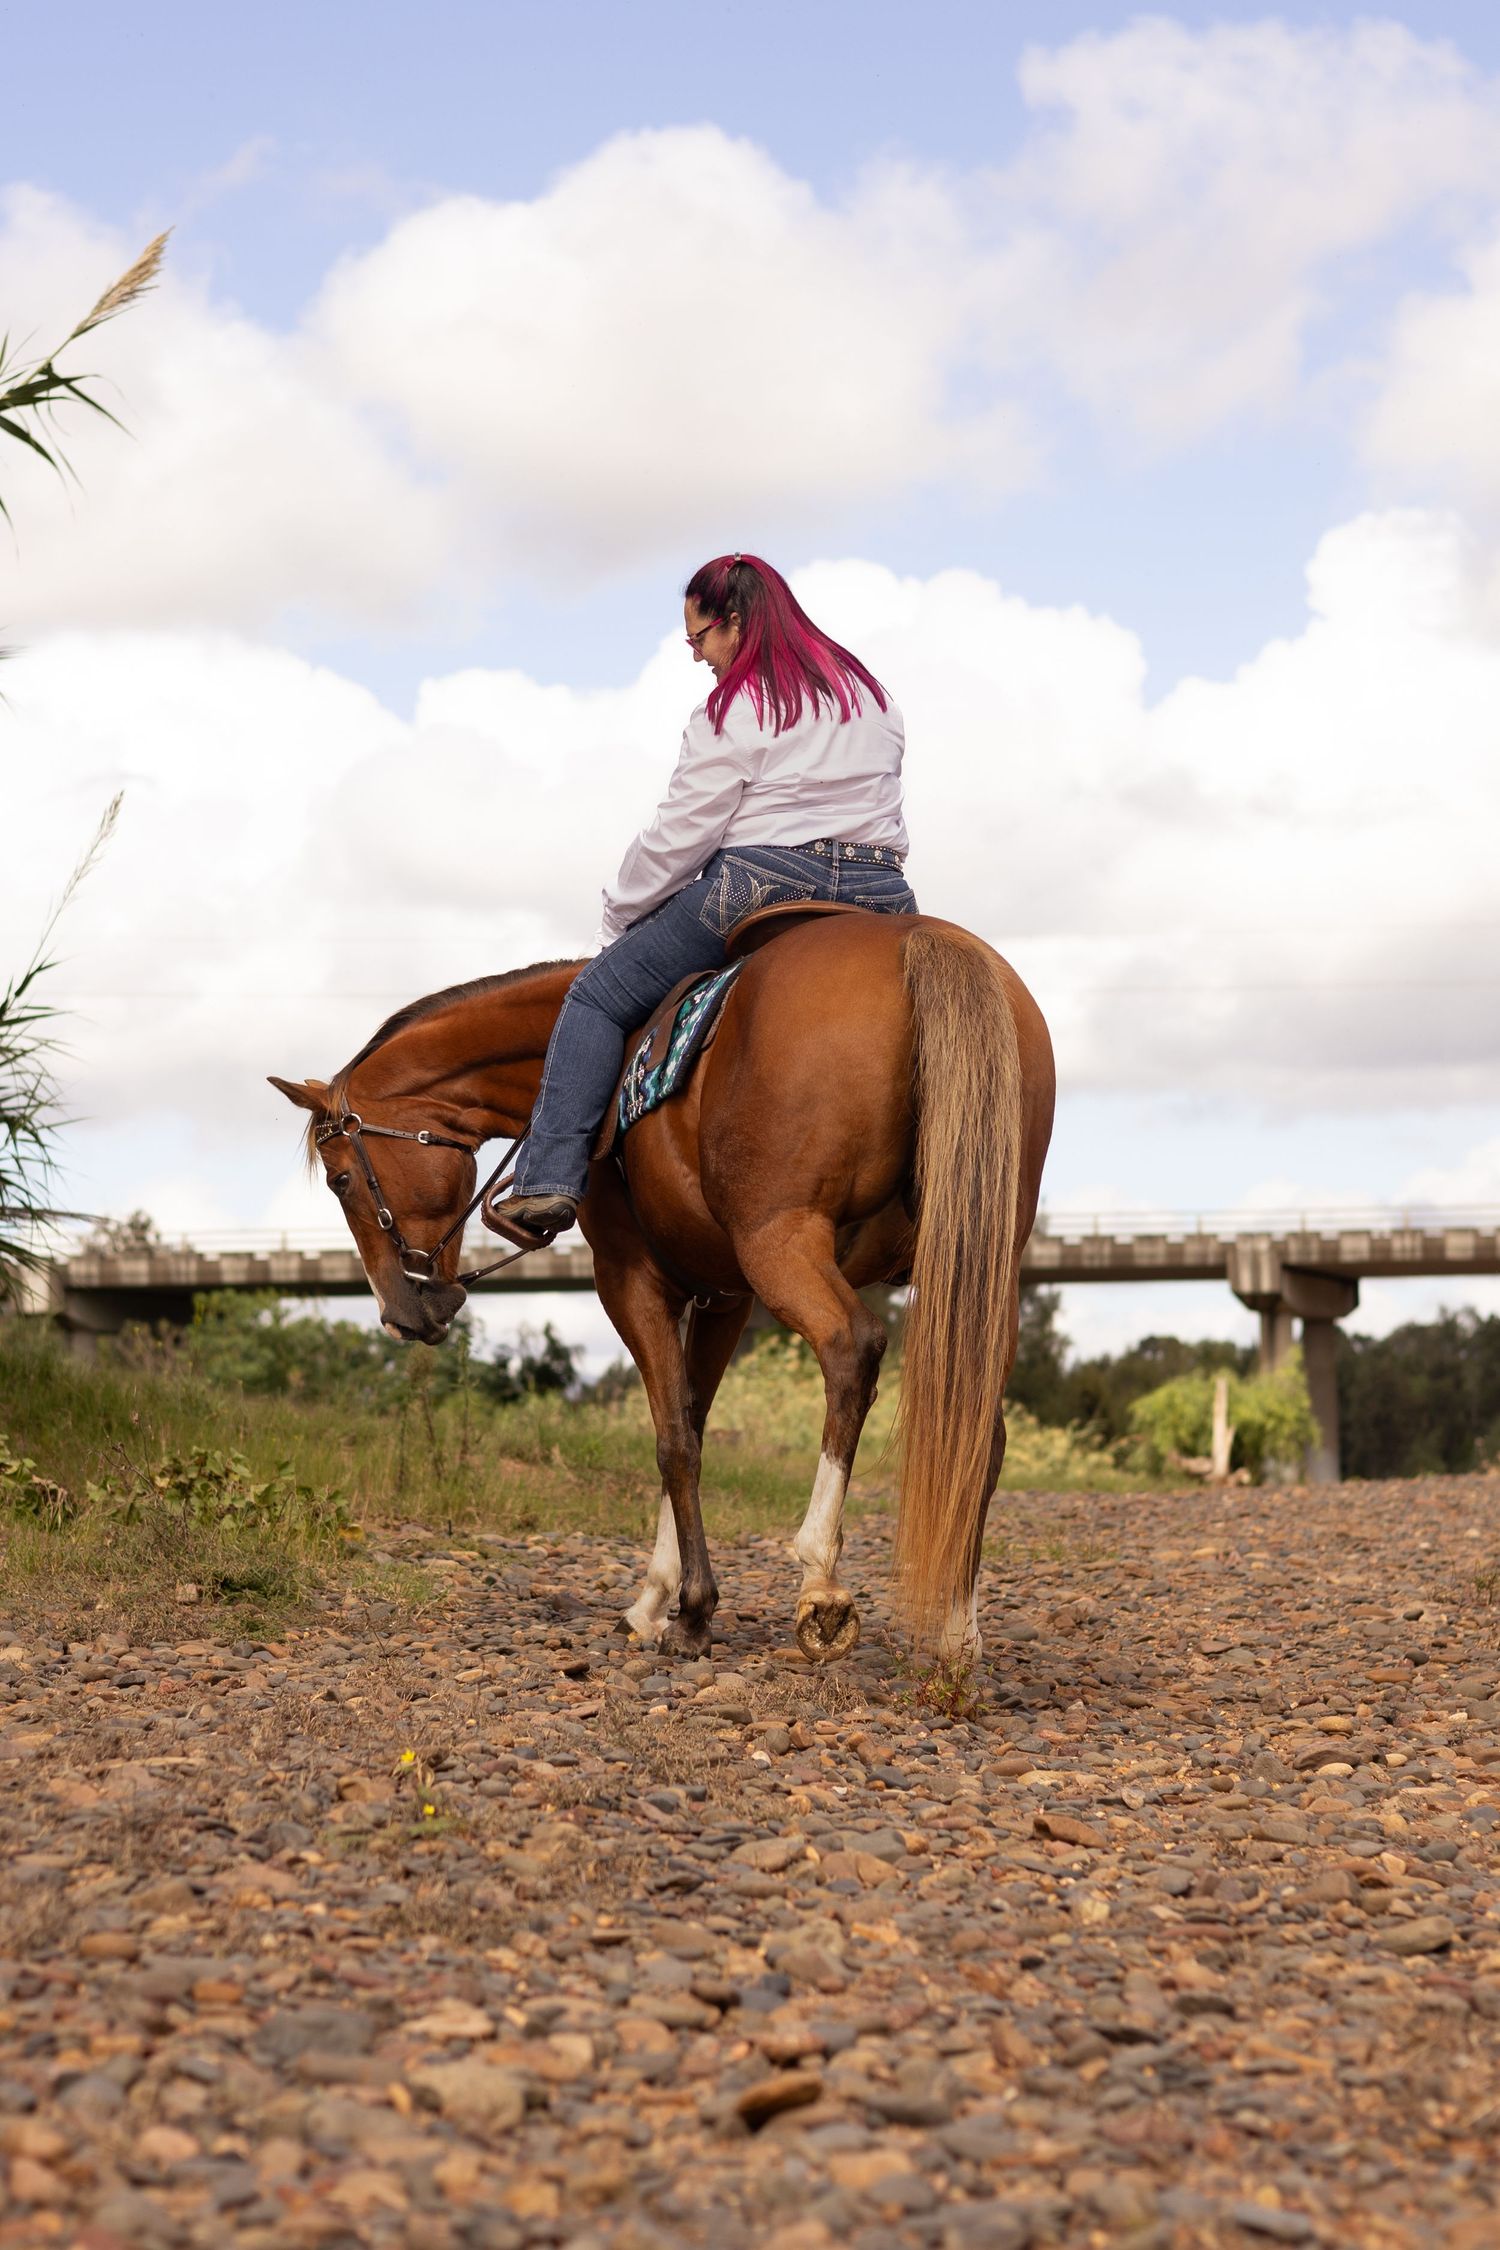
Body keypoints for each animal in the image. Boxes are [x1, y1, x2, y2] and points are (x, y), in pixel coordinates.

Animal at [270, 906, 1054, 1665]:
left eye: (342, 1180)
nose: (400, 1313)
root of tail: (918, 941)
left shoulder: (630, 1278)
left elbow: (673, 1437)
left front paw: (693, 1611)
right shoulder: (724, 1294)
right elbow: (694, 1422)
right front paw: (657, 1597)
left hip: (783, 1241)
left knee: (850, 1348)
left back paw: (821, 1581)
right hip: (980, 1267)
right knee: (979, 1424)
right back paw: (957, 1631)